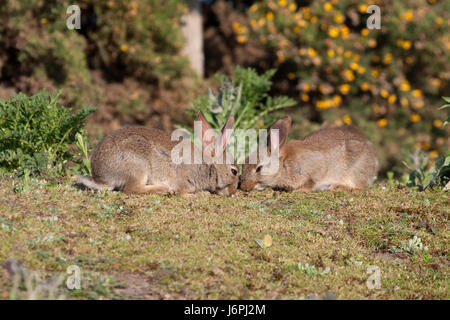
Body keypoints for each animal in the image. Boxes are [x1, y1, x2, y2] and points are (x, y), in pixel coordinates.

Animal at [75, 112, 241, 198]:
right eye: (234, 171)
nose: (233, 192)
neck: (207, 166)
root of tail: (102, 178)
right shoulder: (183, 180)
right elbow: (182, 193)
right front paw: (200, 195)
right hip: (138, 165)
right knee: (131, 189)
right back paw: (163, 189)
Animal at [241, 115, 378, 192]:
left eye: (259, 168)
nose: (243, 187)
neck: (284, 165)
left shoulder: (315, 170)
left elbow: (311, 182)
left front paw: (300, 191)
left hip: (355, 170)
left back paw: (338, 187)